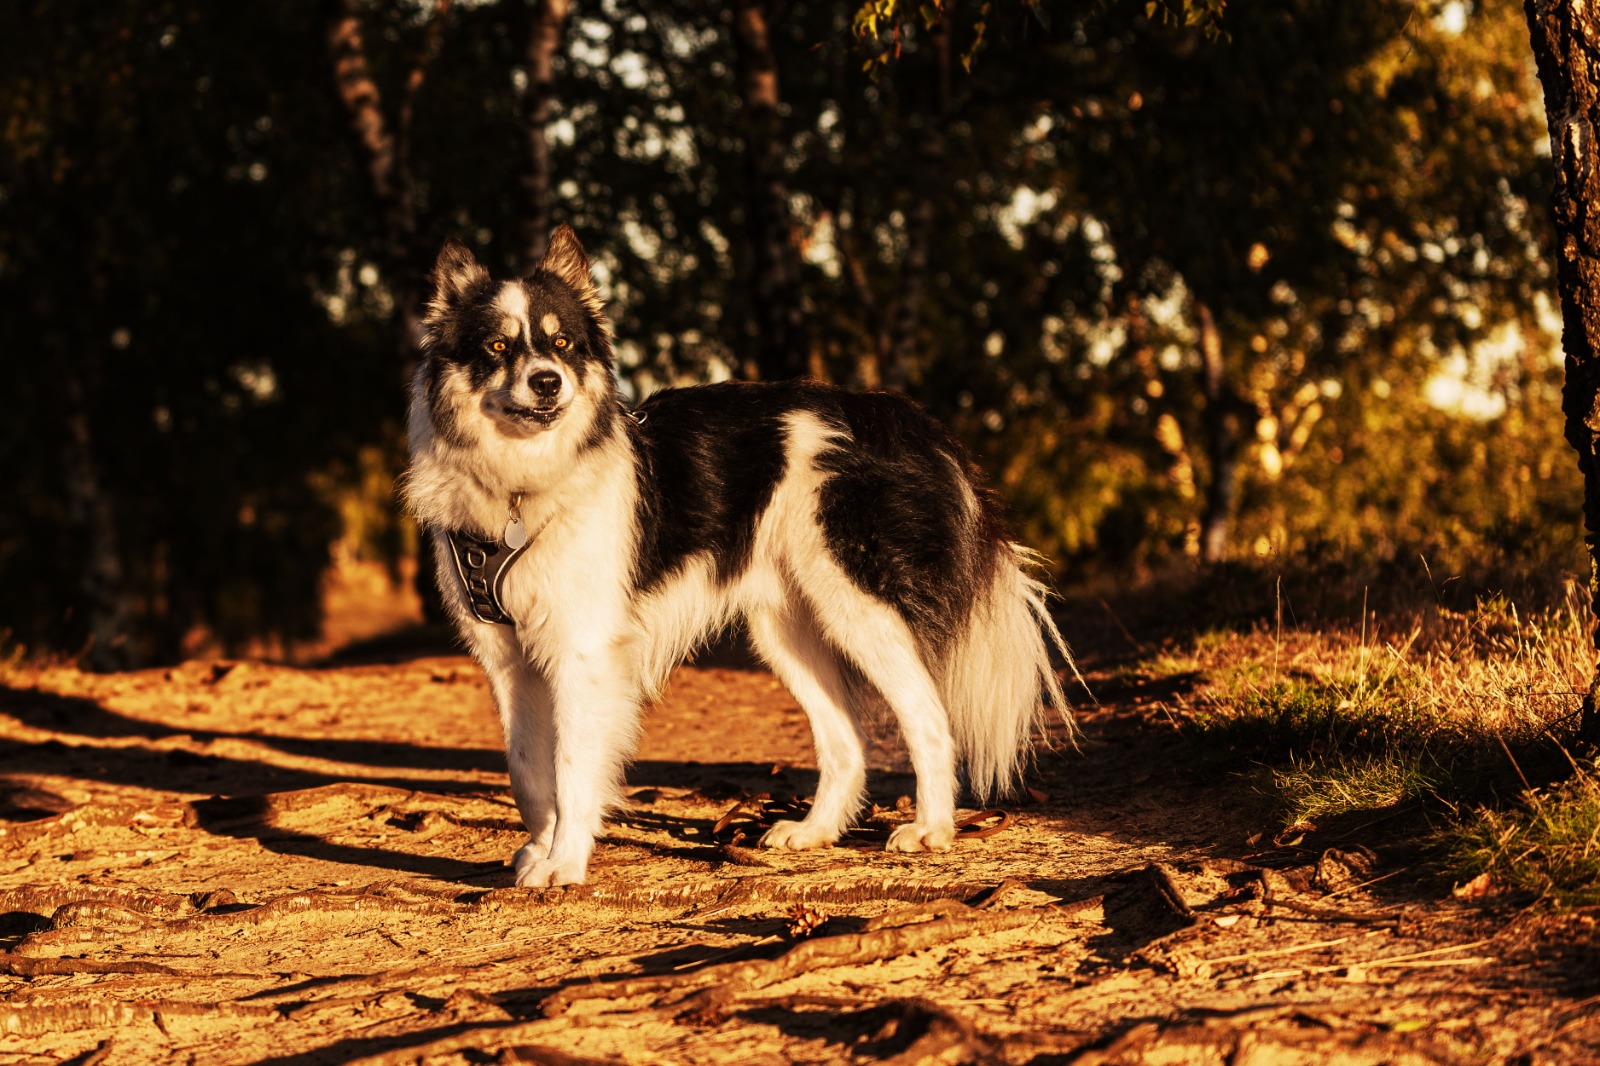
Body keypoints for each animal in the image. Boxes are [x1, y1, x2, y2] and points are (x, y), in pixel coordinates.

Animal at [403, 225, 1075, 889]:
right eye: (496, 346)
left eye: (562, 343)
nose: (548, 381)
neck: (523, 486)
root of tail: (896, 414)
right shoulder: (507, 659)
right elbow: (526, 770)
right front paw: (541, 850)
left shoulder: (583, 652)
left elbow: (571, 766)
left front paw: (565, 862)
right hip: (787, 627)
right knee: (847, 740)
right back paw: (814, 831)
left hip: (858, 605)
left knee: (928, 716)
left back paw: (931, 828)